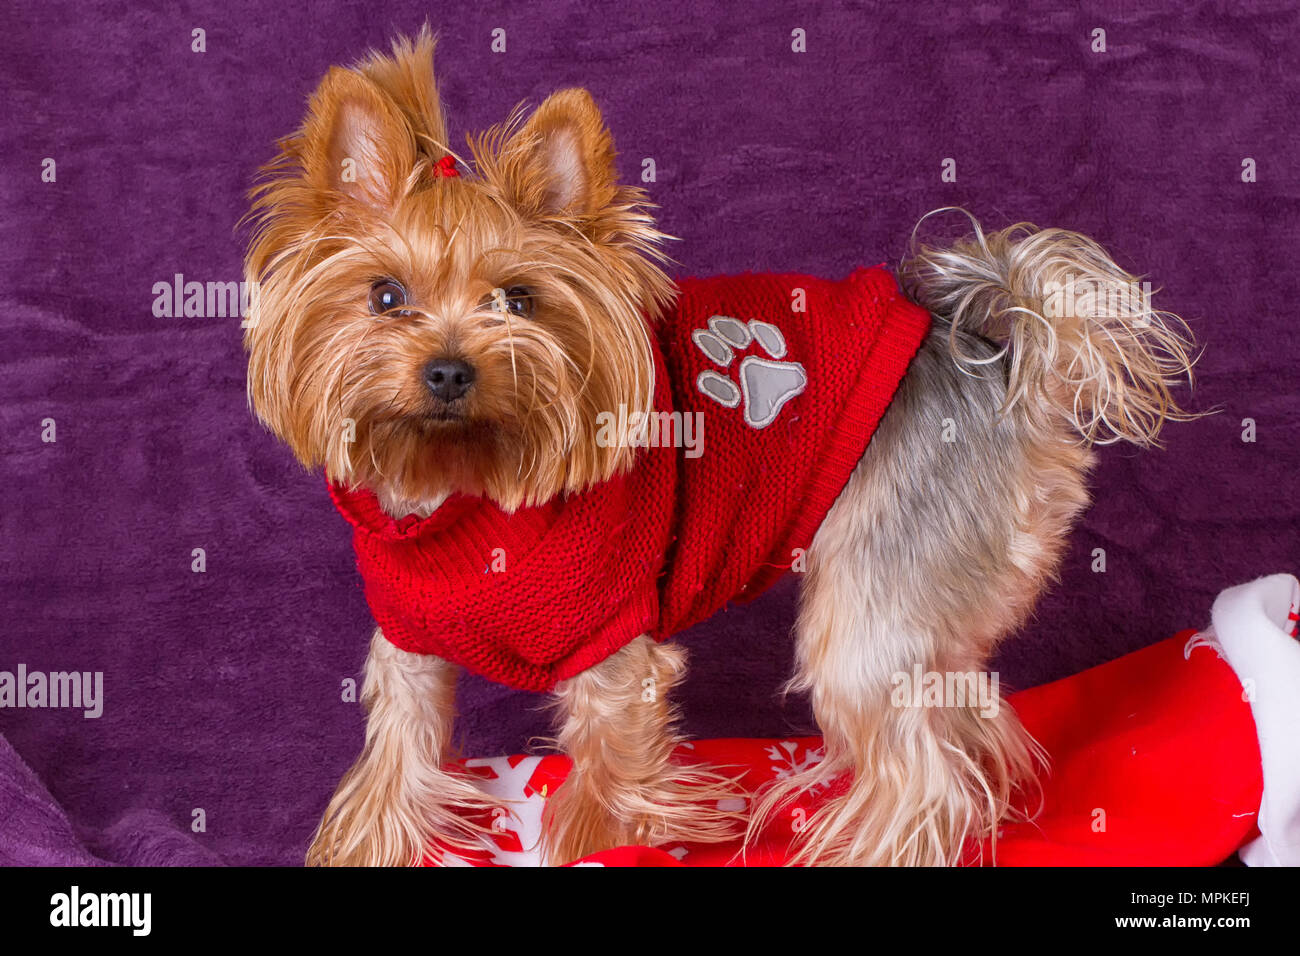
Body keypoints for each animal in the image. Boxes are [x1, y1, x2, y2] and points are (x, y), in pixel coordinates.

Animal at [241, 29, 1196, 868]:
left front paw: (603, 845)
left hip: (876, 603)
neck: (464, 490)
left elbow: (606, 779)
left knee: (923, 775)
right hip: (937, 603)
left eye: (516, 300)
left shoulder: (612, 643)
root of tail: (993, 347)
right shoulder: (407, 647)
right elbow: (393, 762)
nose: (447, 371)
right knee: (970, 726)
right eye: (385, 295)